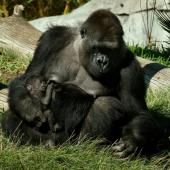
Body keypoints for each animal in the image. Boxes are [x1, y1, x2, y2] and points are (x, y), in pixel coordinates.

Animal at [1, 9, 160, 157]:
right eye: (96, 47)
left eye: (110, 50)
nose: (102, 61)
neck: (80, 50)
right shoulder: (52, 38)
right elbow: (29, 77)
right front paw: (27, 105)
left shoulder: (130, 66)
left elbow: (136, 113)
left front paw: (132, 140)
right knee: (12, 115)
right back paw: (39, 142)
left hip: (70, 140)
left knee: (106, 104)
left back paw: (87, 148)